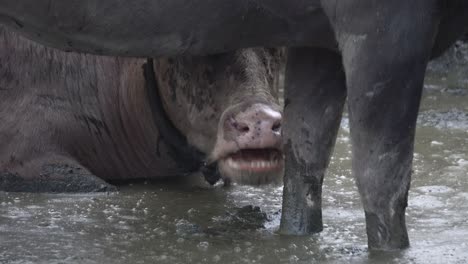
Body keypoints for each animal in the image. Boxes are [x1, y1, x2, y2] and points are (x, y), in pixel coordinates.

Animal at [0, 0, 468, 252]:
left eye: (274, 48)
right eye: (190, 54)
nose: (258, 121)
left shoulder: (318, 35)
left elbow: (305, 169)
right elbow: (383, 185)